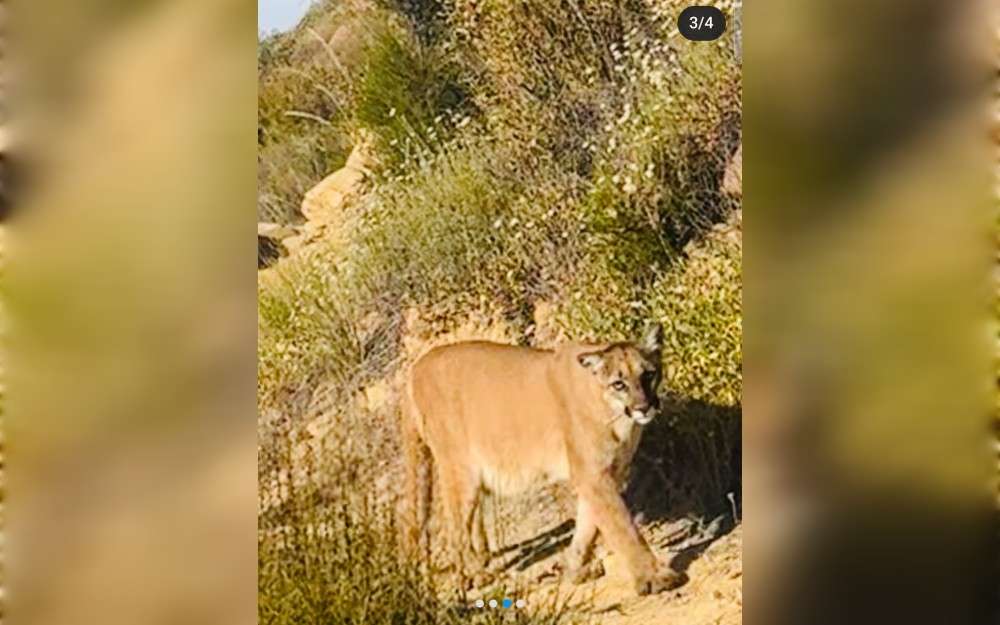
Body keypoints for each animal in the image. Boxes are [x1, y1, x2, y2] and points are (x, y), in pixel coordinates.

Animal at [399, 323, 684, 595]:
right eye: (619, 384)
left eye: (649, 374)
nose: (644, 407)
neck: (616, 416)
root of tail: (416, 367)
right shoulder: (593, 475)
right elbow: (624, 527)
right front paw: (654, 578)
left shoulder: (606, 473)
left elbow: (588, 524)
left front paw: (574, 569)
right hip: (460, 471)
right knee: (454, 529)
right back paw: (474, 577)